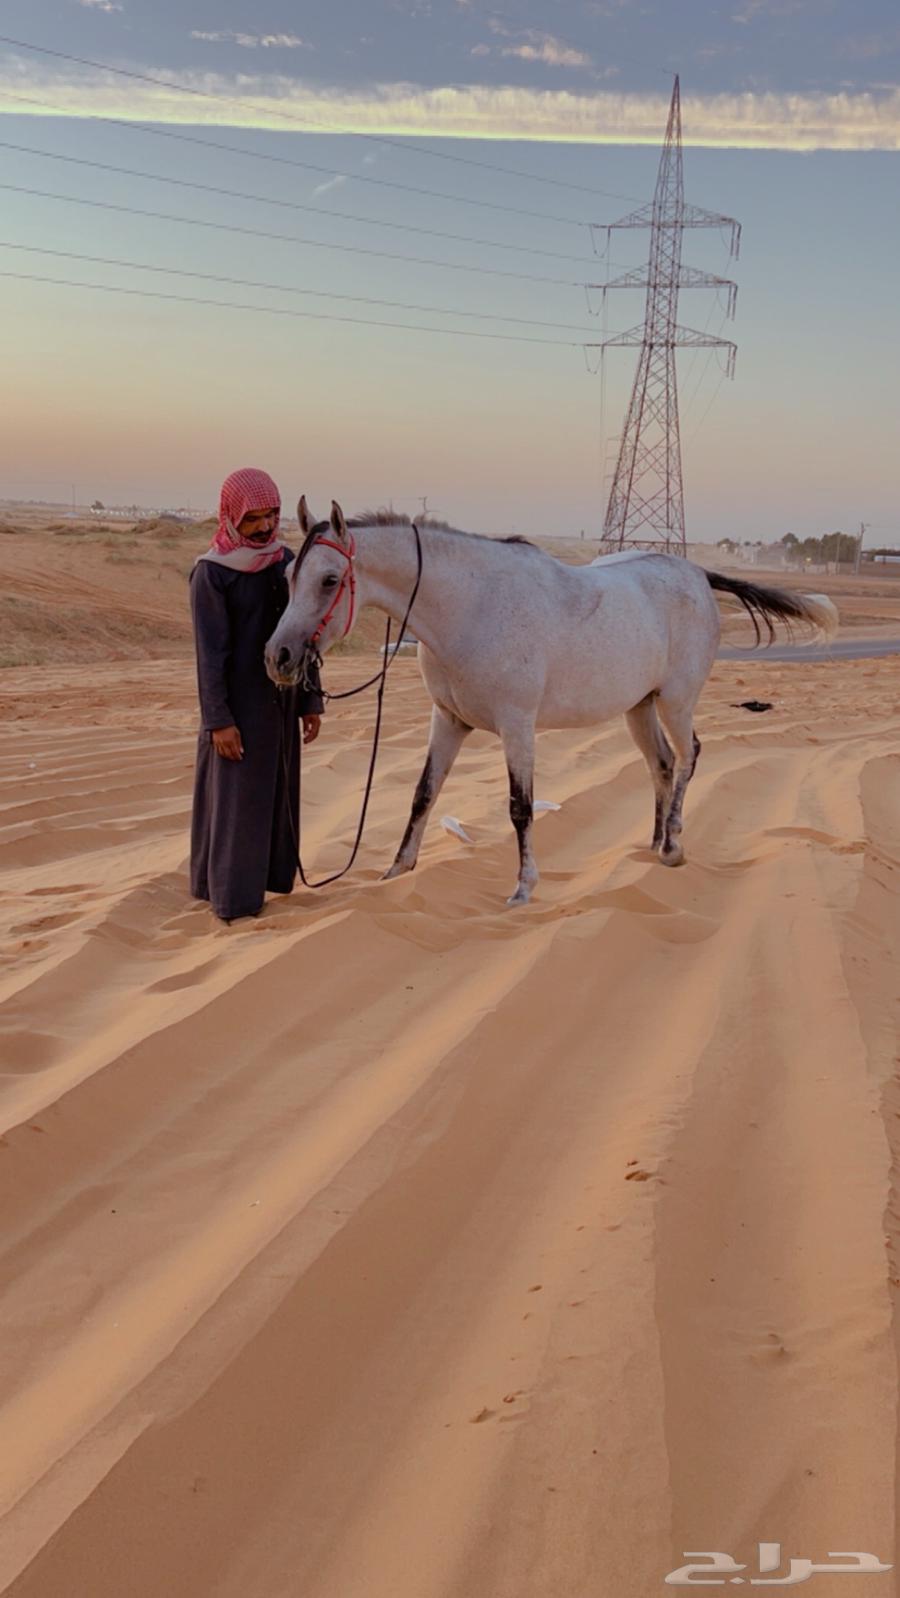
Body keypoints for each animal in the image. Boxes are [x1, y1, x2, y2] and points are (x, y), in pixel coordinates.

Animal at [265, 500, 837, 906]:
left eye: (330, 580)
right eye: (289, 577)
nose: (278, 657)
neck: (470, 607)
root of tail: (698, 574)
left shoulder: (518, 727)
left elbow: (520, 807)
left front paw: (523, 886)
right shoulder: (447, 721)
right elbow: (423, 795)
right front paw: (396, 871)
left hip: (676, 701)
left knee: (689, 755)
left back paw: (673, 846)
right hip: (640, 706)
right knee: (662, 763)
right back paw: (652, 845)